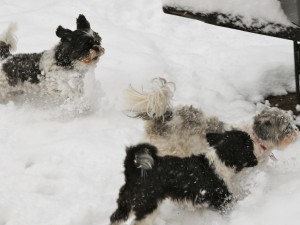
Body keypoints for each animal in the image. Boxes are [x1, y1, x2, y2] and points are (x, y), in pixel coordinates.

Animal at [110, 129, 258, 224]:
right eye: (250, 147)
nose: (256, 161)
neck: (220, 158)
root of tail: (133, 171)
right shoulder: (223, 198)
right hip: (147, 206)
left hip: (126, 203)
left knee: (115, 218)